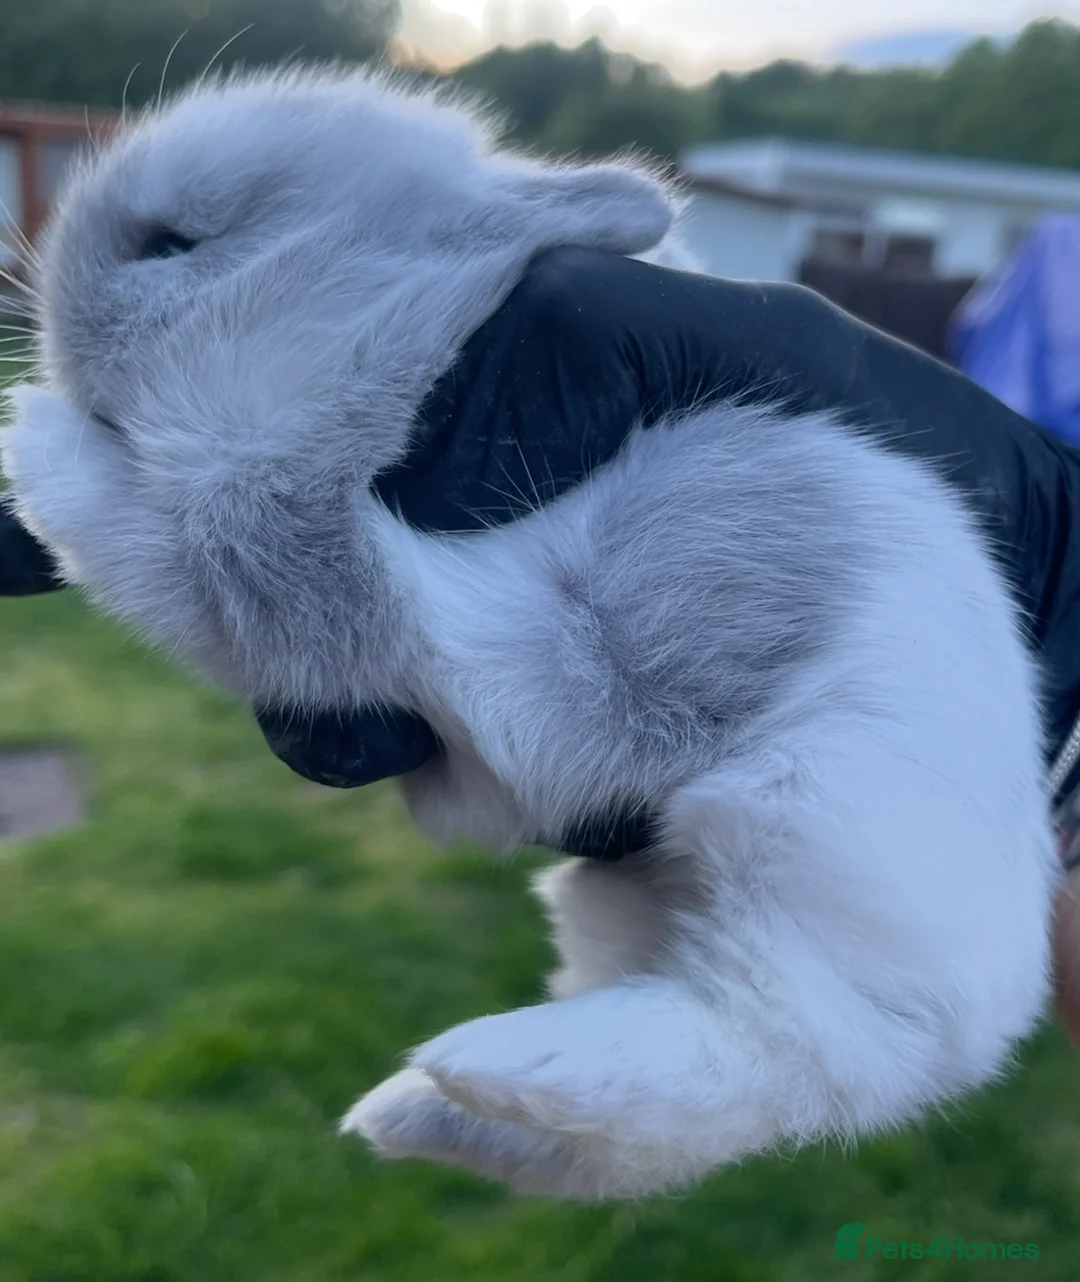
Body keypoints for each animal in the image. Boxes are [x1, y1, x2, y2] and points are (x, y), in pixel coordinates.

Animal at [0, 64, 1059, 1202]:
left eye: (173, 243)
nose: (46, 318)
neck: (407, 334)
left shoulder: (299, 546)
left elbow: (179, 534)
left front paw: (33, 438)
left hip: (821, 817)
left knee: (813, 1043)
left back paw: (487, 1065)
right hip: (628, 888)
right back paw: (415, 1114)